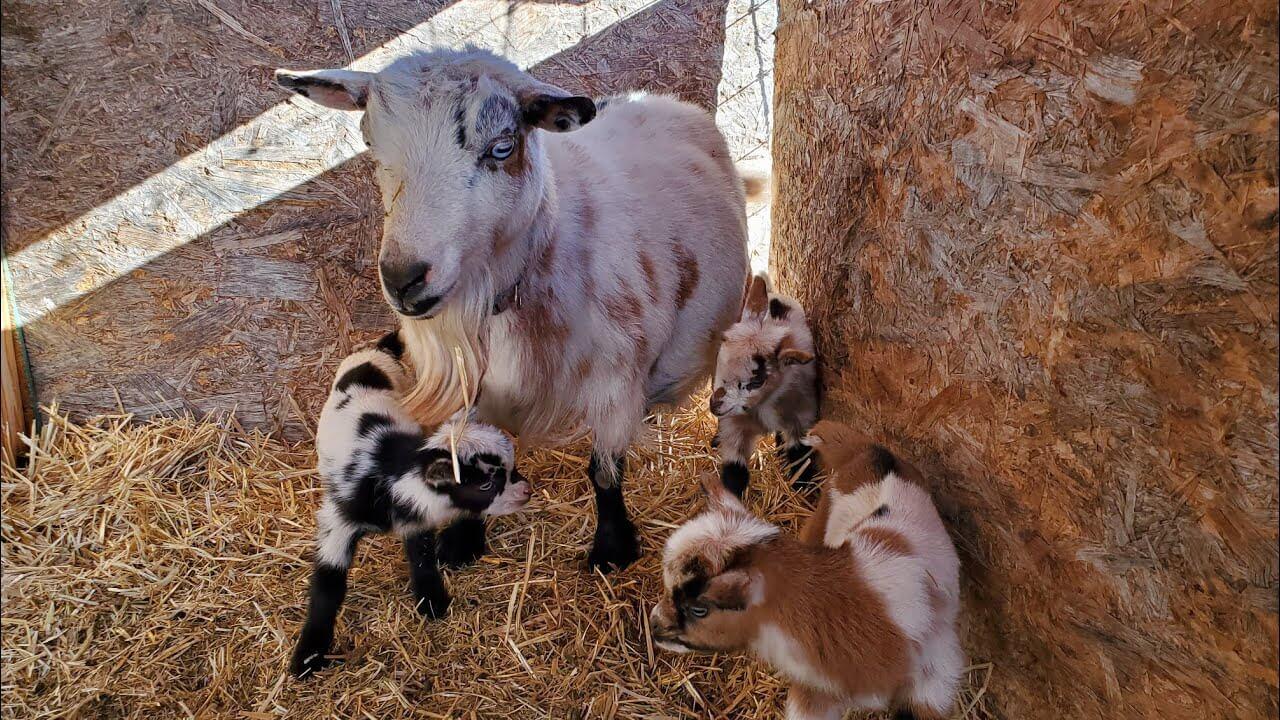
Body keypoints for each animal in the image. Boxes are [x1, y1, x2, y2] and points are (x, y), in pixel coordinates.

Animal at [276, 48, 749, 572]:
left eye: (502, 148)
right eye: (368, 141)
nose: (403, 278)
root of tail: (663, 100)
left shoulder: (615, 382)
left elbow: (604, 471)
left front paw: (611, 548)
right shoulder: (476, 391)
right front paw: (463, 539)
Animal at [291, 332, 531, 678]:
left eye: (513, 469)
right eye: (485, 484)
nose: (526, 491)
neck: (388, 477)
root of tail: (375, 351)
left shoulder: (416, 519)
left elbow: (422, 560)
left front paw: (432, 602)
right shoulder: (339, 523)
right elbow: (327, 587)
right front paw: (308, 655)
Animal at [710, 274, 819, 496]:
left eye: (757, 381)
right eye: (722, 345)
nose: (714, 404)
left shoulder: (802, 416)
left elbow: (800, 456)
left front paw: (803, 490)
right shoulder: (734, 424)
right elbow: (735, 471)